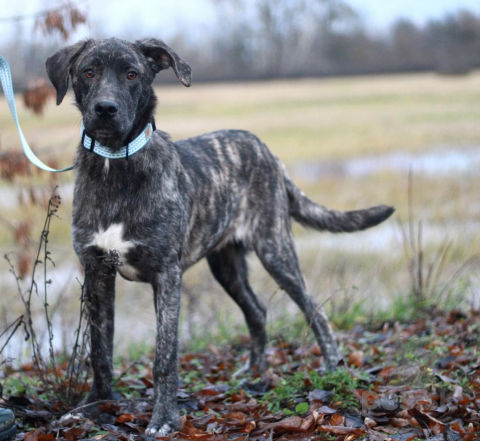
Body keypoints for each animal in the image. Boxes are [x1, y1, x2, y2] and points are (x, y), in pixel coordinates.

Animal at [45, 37, 394, 434]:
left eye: (132, 74)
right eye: (89, 71)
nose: (105, 109)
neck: (116, 165)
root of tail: (266, 150)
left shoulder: (167, 275)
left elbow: (165, 356)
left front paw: (164, 418)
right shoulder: (97, 272)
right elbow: (100, 350)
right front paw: (92, 407)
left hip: (275, 249)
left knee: (313, 309)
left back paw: (333, 367)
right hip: (225, 264)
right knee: (257, 311)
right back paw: (255, 371)